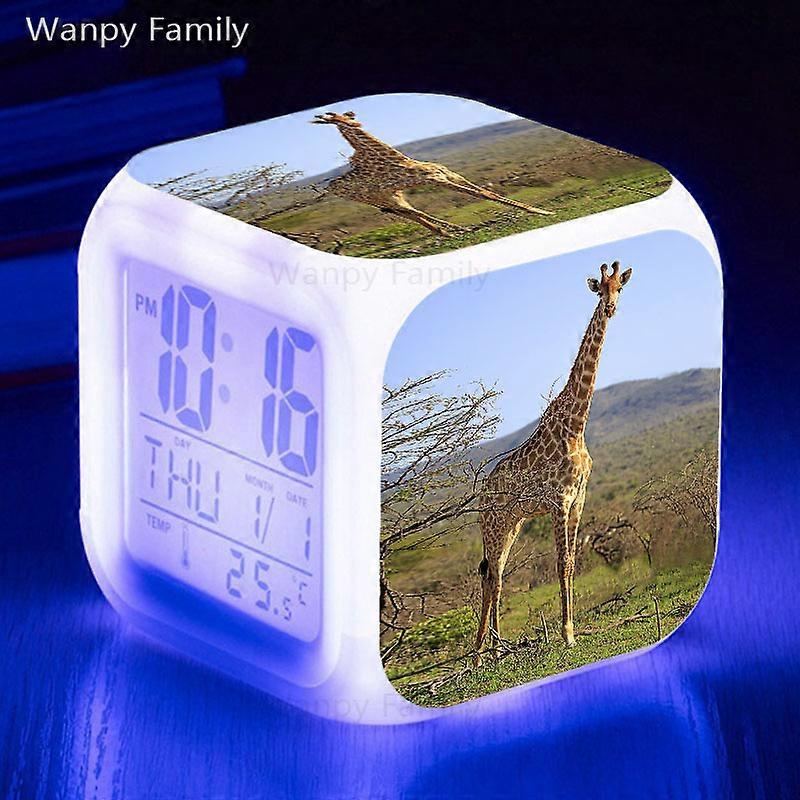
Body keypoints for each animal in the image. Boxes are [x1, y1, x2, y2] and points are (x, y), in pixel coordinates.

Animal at [310, 110, 553, 235]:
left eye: (348, 117)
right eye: (336, 120)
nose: (356, 122)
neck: (399, 159)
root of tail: (330, 187)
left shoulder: (449, 175)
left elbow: (486, 192)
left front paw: (539, 210)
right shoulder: (438, 181)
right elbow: (482, 194)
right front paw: (541, 212)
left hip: (390, 195)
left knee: (409, 212)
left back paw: (452, 230)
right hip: (375, 198)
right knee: (408, 212)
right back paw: (451, 231)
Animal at [473, 261, 633, 665]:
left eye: (619, 288)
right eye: (599, 289)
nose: (610, 308)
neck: (576, 424)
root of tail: (481, 497)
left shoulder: (578, 499)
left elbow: (571, 563)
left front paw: (571, 629)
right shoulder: (558, 501)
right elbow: (560, 564)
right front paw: (567, 634)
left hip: (512, 525)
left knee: (497, 575)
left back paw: (497, 647)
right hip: (493, 526)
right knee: (490, 576)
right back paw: (480, 652)